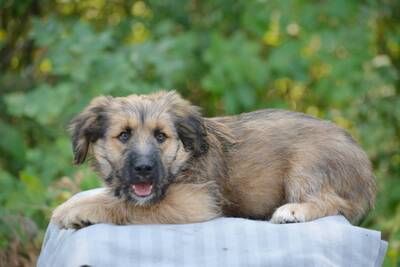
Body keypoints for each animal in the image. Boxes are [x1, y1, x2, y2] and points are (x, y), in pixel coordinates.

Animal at [52, 90, 376, 228]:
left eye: (161, 136)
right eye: (123, 136)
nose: (144, 169)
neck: (181, 161)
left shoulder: (194, 202)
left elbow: (124, 205)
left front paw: (75, 212)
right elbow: (108, 196)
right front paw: (73, 205)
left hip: (307, 165)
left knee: (336, 203)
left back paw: (293, 210)